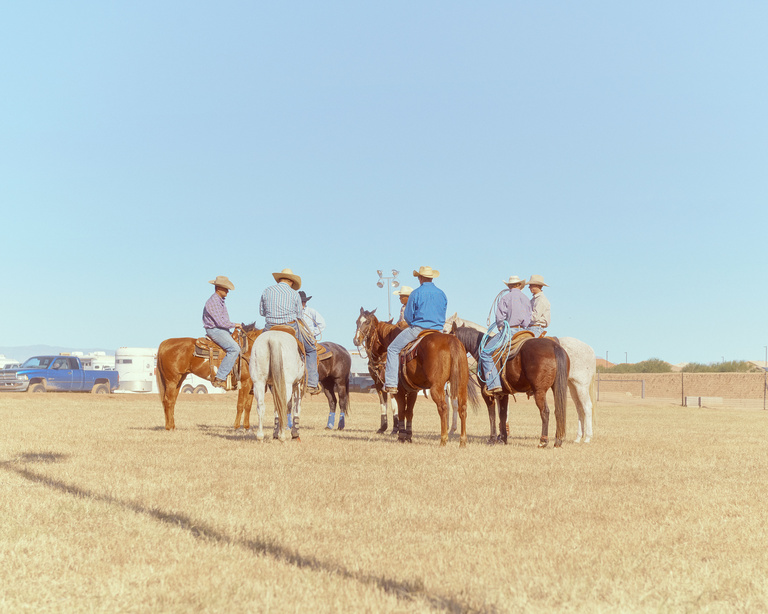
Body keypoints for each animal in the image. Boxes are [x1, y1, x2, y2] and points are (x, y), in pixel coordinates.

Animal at [354, 308, 474, 448]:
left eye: (367, 322)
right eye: (357, 321)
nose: (356, 340)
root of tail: (452, 341)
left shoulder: (397, 390)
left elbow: (401, 410)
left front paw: (400, 435)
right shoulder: (412, 391)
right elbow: (409, 412)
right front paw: (408, 436)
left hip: (436, 388)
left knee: (443, 408)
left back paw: (443, 439)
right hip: (461, 385)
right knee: (462, 408)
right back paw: (462, 440)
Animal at [444, 318, 592, 442]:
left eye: (446, 331)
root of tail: (555, 347)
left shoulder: (487, 393)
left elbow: (492, 414)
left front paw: (492, 438)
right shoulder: (503, 393)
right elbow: (503, 414)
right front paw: (503, 438)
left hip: (560, 388)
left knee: (554, 410)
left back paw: (550, 440)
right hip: (565, 387)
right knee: (566, 410)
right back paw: (566, 440)